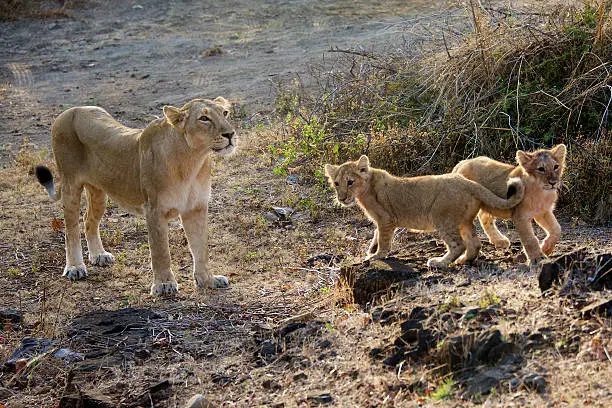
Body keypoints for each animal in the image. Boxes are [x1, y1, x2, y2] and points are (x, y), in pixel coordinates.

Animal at [35, 97, 237, 294]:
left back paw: (99, 255)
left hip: (99, 192)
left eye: (225, 113)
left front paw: (208, 280)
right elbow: (161, 251)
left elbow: (201, 248)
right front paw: (164, 285)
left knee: (88, 220)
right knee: (71, 230)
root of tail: (71, 110)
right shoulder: (154, 209)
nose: (230, 134)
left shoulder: (196, 208)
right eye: (204, 118)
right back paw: (75, 267)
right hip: (70, 186)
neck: (192, 160)